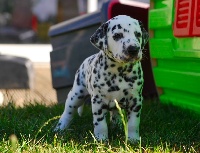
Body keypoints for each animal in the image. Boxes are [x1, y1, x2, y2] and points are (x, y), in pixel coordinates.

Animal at [54, 14, 148, 142]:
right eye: (117, 35)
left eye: (138, 34)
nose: (133, 49)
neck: (119, 71)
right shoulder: (97, 101)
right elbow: (100, 124)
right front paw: (101, 140)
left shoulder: (135, 101)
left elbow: (133, 123)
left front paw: (133, 140)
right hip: (76, 95)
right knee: (67, 113)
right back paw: (60, 128)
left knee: (115, 114)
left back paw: (117, 126)